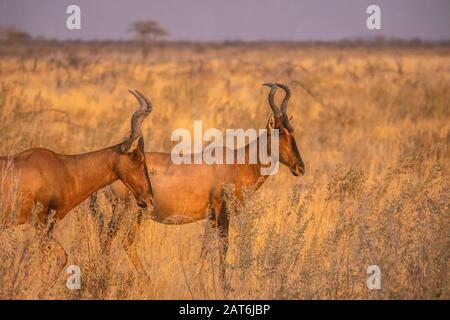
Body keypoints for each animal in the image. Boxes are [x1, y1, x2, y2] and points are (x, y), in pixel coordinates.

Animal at [0, 89, 155, 278]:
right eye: (139, 158)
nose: (149, 200)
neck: (62, 167)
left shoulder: (42, 225)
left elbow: (62, 257)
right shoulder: (43, 222)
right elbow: (44, 264)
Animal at [89, 84, 304, 282]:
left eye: (292, 130)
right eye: (280, 132)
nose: (300, 168)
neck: (236, 162)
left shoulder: (211, 215)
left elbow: (205, 247)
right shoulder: (222, 210)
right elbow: (223, 245)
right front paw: (224, 285)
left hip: (136, 214)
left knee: (125, 242)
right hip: (124, 211)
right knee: (110, 240)